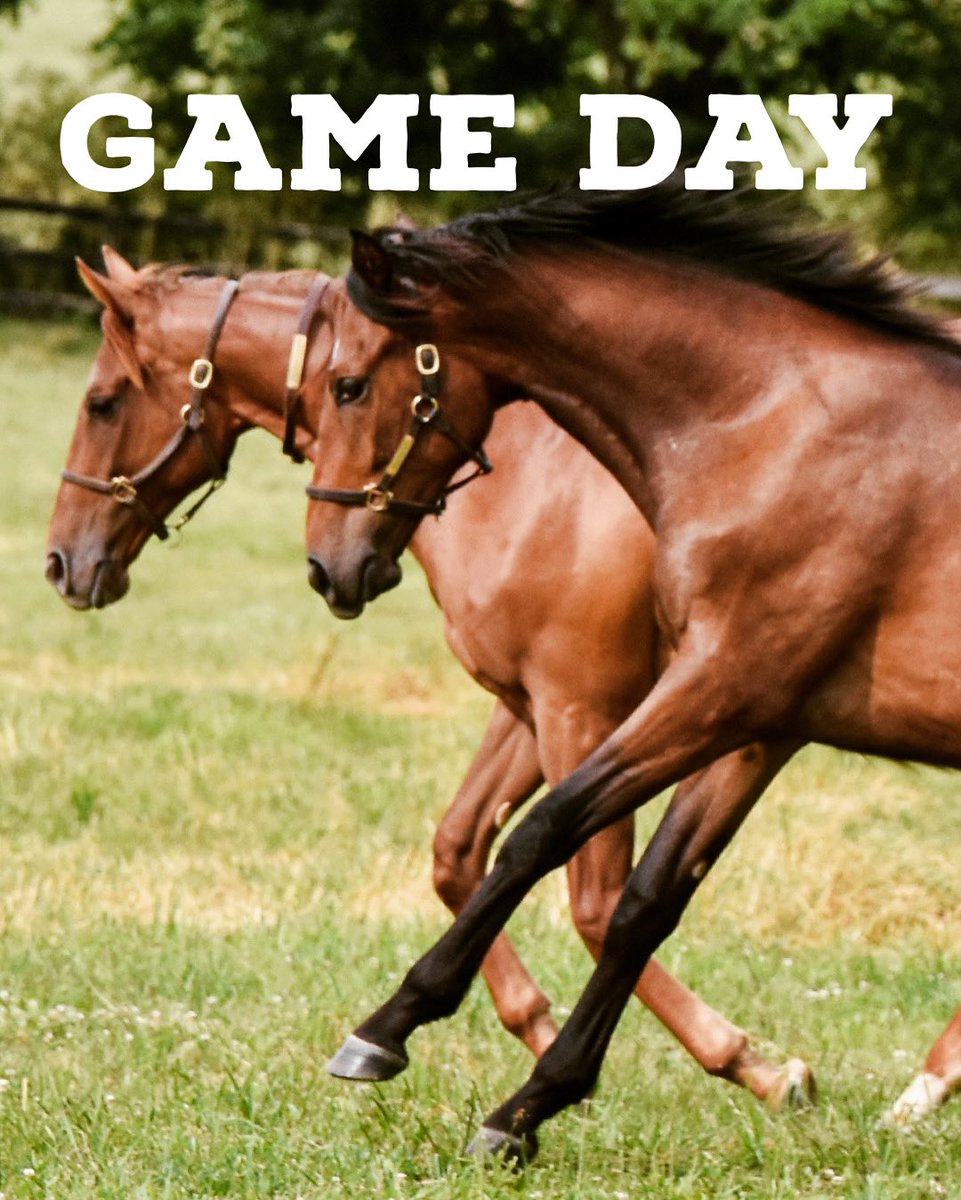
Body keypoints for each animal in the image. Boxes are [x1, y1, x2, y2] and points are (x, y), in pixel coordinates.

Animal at [46, 248, 811, 1108]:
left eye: (102, 403)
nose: (61, 562)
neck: (519, 478)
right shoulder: (529, 711)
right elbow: (459, 854)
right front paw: (517, 1029)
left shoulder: (582, 710)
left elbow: (595, 900)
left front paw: (749, 1064)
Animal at [302, 174, 961, 1156]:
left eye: (347, 385)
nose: (328, 566)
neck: (774, 426)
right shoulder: (756, 724)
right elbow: (646, 900)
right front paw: (531, 1106)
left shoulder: (717, 689)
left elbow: (545, 832)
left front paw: (389, 1027)